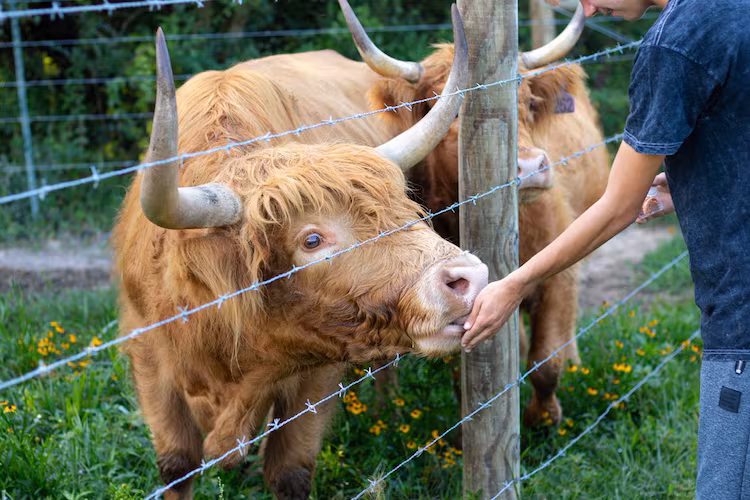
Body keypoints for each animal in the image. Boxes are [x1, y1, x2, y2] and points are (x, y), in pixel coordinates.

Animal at [112, 9, 490, 500]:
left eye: (404, 208)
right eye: (311, 240)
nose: (468, 277)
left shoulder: (316, 372)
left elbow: (290, 471)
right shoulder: (150, 358)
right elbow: (176, 464)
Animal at [339, 0, 610, 427]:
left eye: (529, 104)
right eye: (447, 111)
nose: (530, 167)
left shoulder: (559, 277)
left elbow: (547, 361)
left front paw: (545, 417)